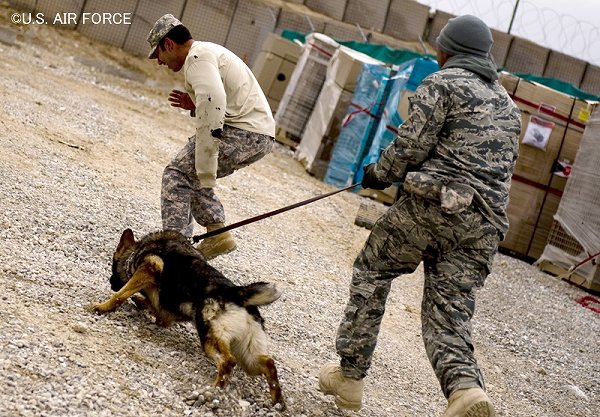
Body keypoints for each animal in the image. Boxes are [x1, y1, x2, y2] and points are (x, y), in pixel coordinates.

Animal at [90, 228, 284, 406]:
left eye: (112, 265)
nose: (110, 283)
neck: (139, 249)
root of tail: (238, 293)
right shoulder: (165, 311)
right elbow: (154, 308)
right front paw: (140, 302)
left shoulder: (148, 268)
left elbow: (122, 294)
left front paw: (104, 306)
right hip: (248, 357)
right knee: (268, 363)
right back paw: (278, 402)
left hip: (210, 340)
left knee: (228, 361)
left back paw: (214, 391)